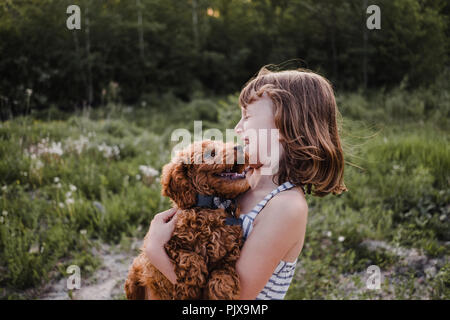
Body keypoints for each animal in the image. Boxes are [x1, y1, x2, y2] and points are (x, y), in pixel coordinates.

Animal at [123, 140, 250, 300]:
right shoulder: (168, 244)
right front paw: (192, 281)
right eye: (210, 153)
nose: (240, 147)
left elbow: (225, 269)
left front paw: (223, 288)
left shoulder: (231, 252)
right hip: (135, 273)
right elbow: (190, 257)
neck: (213, 205)